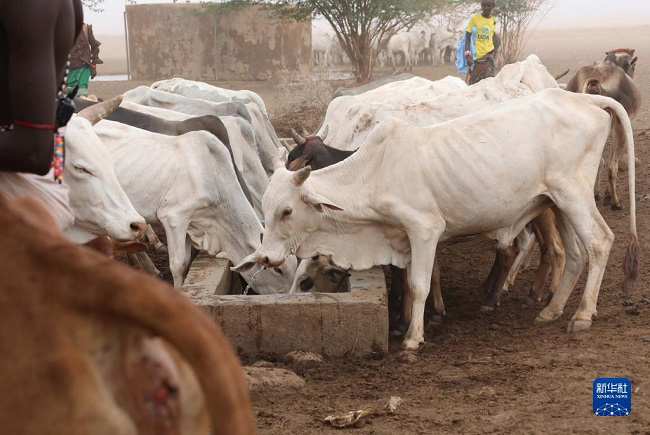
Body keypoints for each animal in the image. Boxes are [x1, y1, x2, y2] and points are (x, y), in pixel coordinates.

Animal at [232, 89, 632, 350]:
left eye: (286, 211)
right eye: (265, 206)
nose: (265, 257)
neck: (372, 173)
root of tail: (585, 99)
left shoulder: (424, 230)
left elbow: (420, 284)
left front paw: (413, 338)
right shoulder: (402, 239)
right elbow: (408, 284)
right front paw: (407, 323)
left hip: (573, 195)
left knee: (599, 242)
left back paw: (581, 315)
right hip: (555, 202)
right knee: (574, 253)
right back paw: (550, 310)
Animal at [564, 57, 640, 209]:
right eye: (633, 66)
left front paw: (598, 193)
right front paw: (607, 195)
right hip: (619, 128)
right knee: (612, 166)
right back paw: (615, 202)